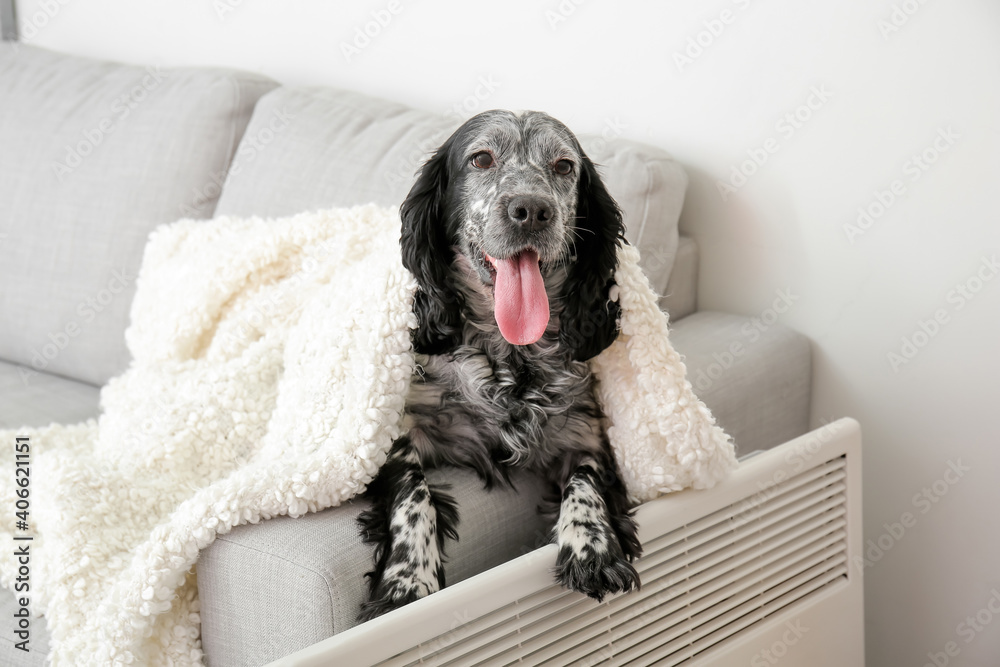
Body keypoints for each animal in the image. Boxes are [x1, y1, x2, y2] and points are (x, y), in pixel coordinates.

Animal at [358, 109, 640, 620]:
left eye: (564, 166)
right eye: (481, 159)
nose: (531, 210)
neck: (511, 356)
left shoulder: (583, 432)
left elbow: (585, 483)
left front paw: (592, 550)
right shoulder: (401, 430)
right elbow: (412, 493)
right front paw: (407, 580)